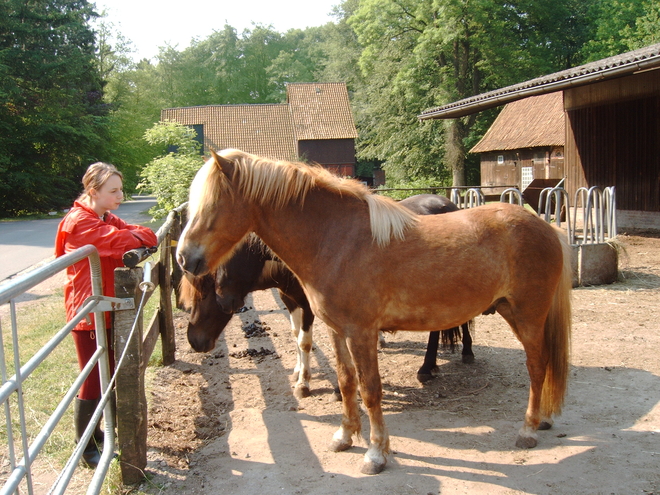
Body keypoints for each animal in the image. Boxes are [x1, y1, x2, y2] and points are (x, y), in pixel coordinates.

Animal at [177, 150, 572, 476]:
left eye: (212, 205)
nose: (184, 258)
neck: (335, 240)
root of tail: (546, 228)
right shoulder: (337, 330)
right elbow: (346, 381)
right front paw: (345, 436)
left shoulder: (362, 333)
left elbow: (370, 391)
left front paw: (376, 453)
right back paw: (544, 420)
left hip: (527, 316)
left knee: (537, 366)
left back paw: (528, 429)